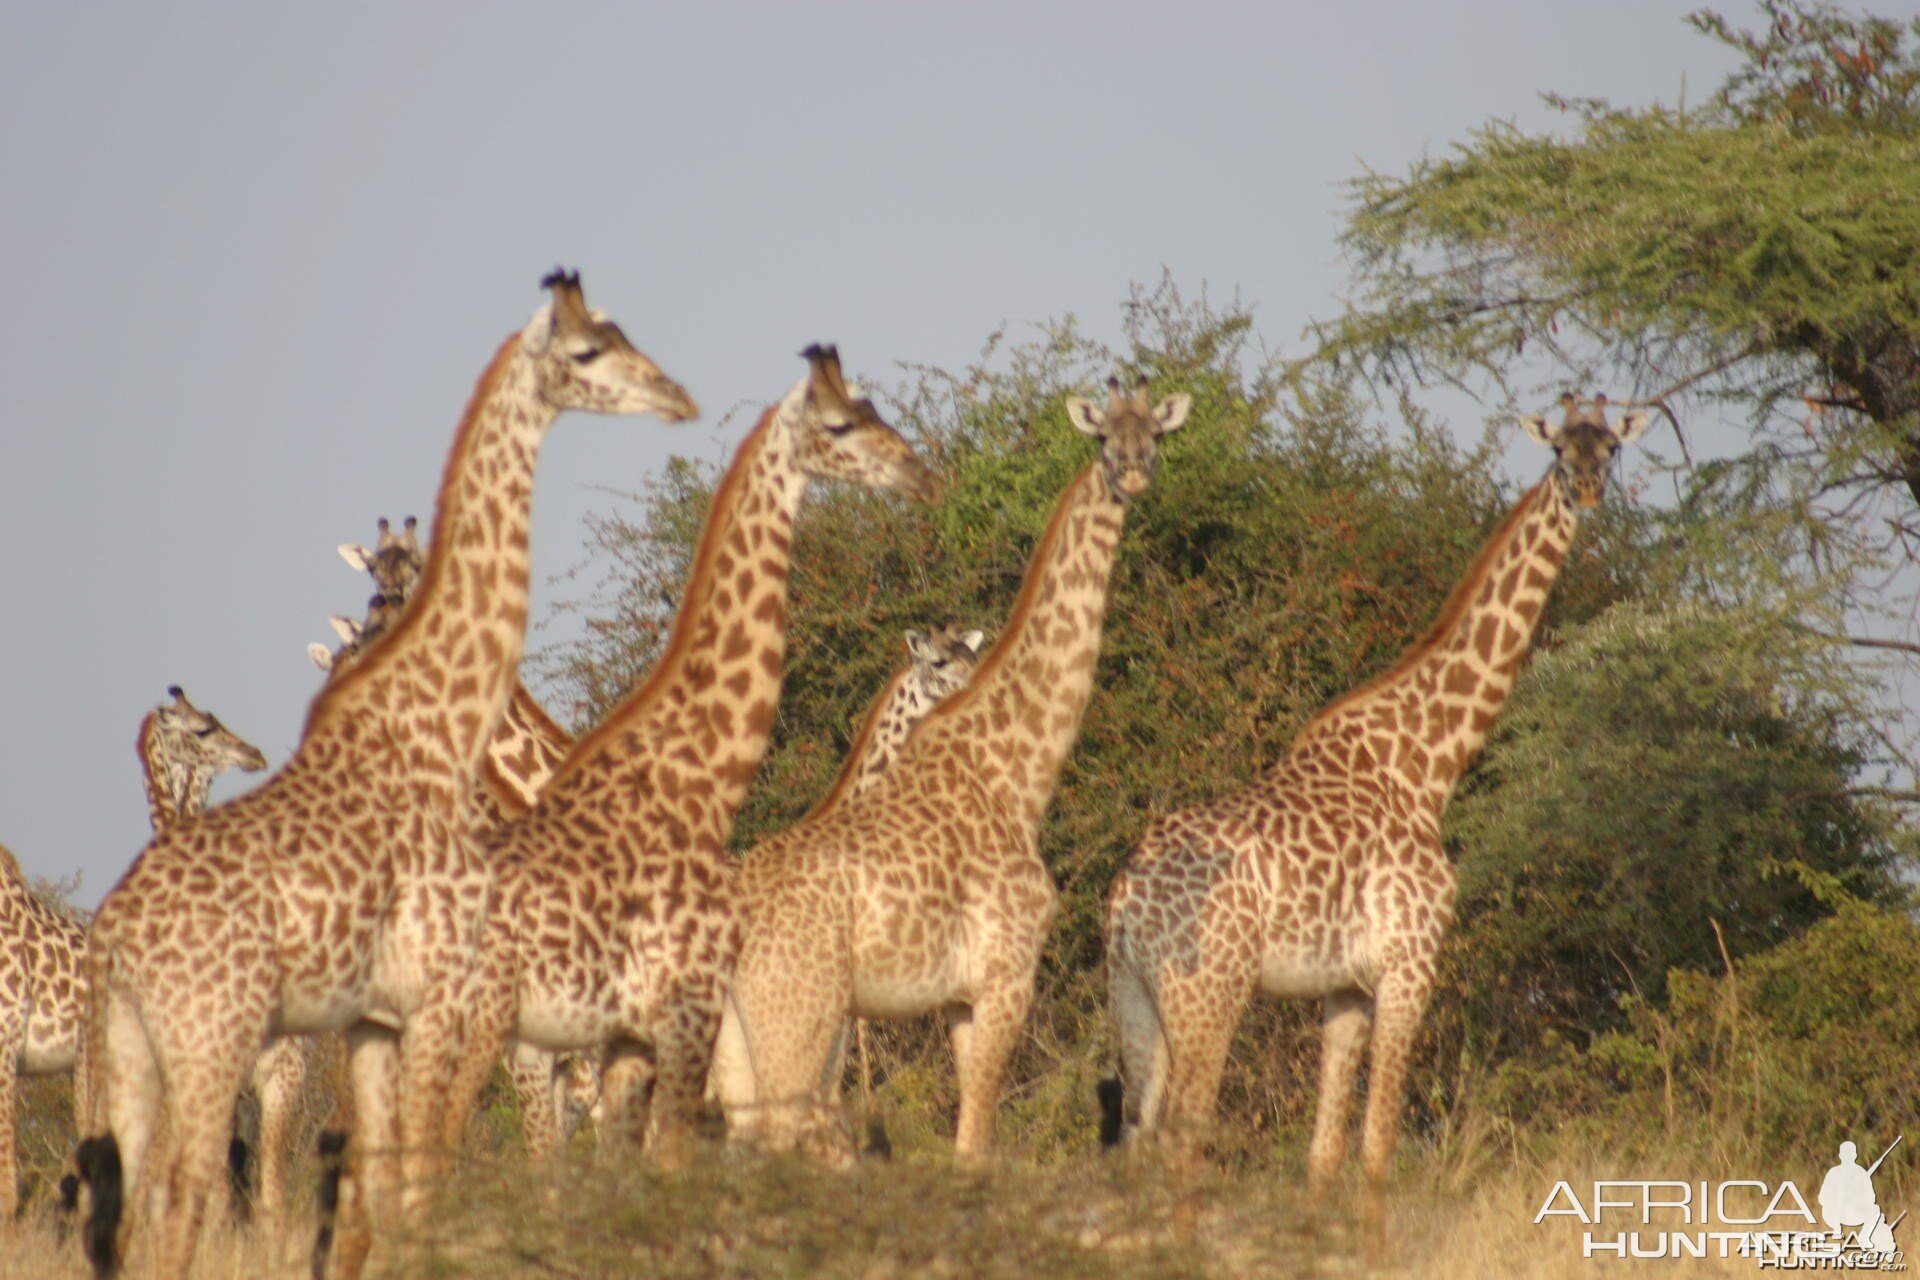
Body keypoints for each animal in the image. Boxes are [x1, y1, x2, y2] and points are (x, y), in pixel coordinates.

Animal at [710, 372, 1182, 1159]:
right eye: (1102, 436)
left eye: (1155, 433)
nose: (1136, 472)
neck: (1017, 774)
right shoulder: (1006, 975)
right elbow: (977, 1141)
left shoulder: (961, 1000)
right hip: (795, 1013)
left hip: (738, 1031)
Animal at [1105, 393, 1658, 1205]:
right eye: (1561, 450)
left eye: (1611, 447)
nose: (1587, 490)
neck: (1425, 763)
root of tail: (1125, 900)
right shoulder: (1409, 965)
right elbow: (1379, 1146)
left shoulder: (1344, 989)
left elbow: (1326, 1153)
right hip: (1209, 995)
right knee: (1178, 1138)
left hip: (1136, 999)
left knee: (1136, 1145)